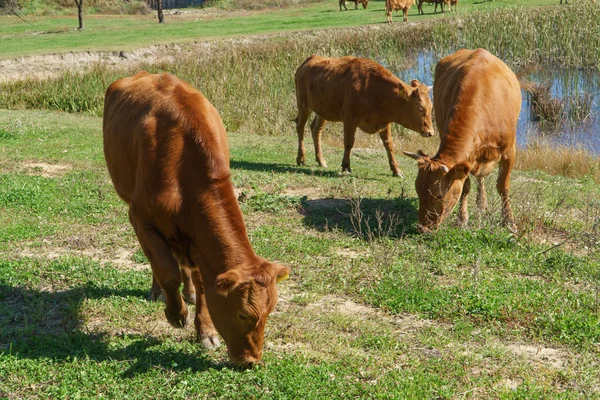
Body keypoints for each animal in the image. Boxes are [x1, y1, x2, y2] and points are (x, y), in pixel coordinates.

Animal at [103, 71, 290, 366]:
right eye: (243, 314)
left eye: (270, 311)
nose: (252, 361)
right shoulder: (141, 218)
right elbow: (166, 271)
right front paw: (176, 314)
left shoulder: (199, 241)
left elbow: (202, 283)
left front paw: (206, 331)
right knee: (160, 263)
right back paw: (160, 293)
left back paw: (188, 292)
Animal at [294, 54, 432, 177]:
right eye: (420, 108)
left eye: (431, 107)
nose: (430, 132)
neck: (374, 90)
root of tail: (309, 59)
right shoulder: (349, 118)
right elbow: (349, 142)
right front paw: (346, 166)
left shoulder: (384, 121)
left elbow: (389, 144)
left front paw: (396, 170)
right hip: (303, 104)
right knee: (300, 126)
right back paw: (301, 158)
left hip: (322, 110)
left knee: (316, 130)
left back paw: (321, 160)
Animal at [404, 48, 520, 233]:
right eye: (418, 190)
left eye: (439, 195)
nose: (423, 228)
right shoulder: (466, 159)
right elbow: (465, 186)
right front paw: (462, 219)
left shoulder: (509, 150)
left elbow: (503, 186)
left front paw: (509, 221)